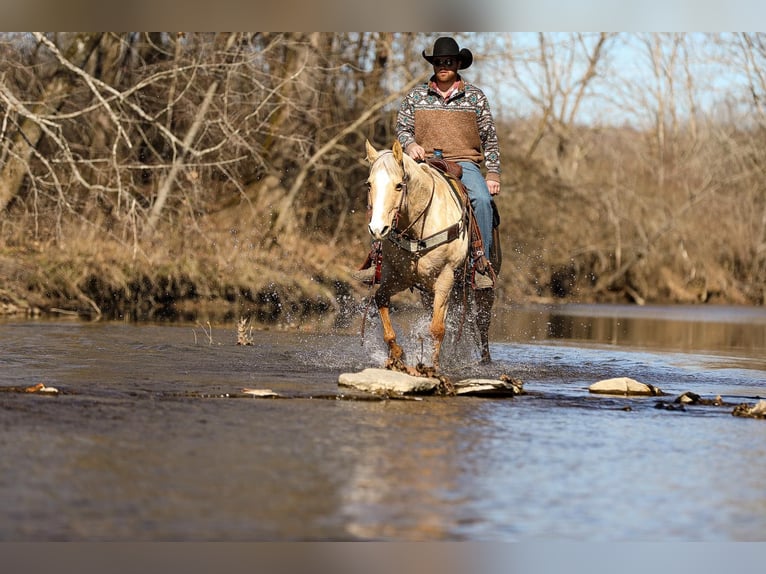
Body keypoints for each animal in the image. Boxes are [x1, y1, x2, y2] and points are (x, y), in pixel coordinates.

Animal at [366, 142, 498, 372]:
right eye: (369, 185)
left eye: (399, 185)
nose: (377, 229)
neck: (419, 227)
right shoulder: (400, 277)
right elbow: (381, 298)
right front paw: (398, 355)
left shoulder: (446, 277)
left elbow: (437, 328)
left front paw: (433, 365)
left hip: (481, 283)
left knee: (482, 320)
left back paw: (485, 358)